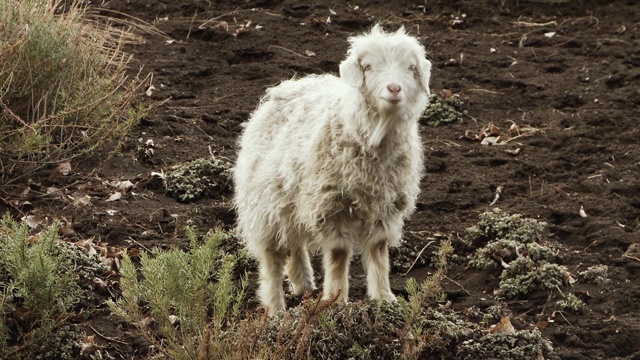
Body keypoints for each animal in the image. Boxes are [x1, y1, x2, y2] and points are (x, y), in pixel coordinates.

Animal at [232, 24, 432, 316]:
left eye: (410, 67)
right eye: (368, 66)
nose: (394, 88)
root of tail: (289, 84)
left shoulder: (386, 207)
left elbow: (379, 251)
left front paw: (385, 298)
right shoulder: (331, 205)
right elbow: (338, 254)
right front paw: (336, 300)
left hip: (293, 199)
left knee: (295, 243)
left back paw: (303, 283)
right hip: (266, 203)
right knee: (272, 258)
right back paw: (276, 308)